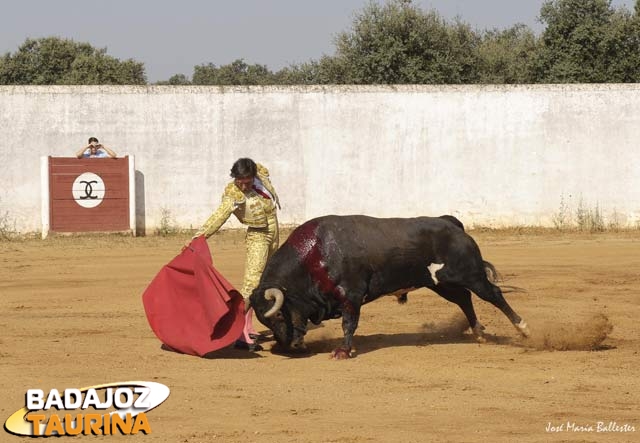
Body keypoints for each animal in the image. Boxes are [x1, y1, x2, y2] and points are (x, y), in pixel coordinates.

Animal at [248, 216, 528, 360]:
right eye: (267, 321)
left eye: (280, 314)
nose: (291, 348)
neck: (315, 255)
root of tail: (451, 223)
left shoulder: (352, 295)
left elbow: (349, 323)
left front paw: (343, 351)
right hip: (441, 283)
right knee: (464, 299)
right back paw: (479, 332)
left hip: (470, 274)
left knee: (492, 294)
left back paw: (522, 329)